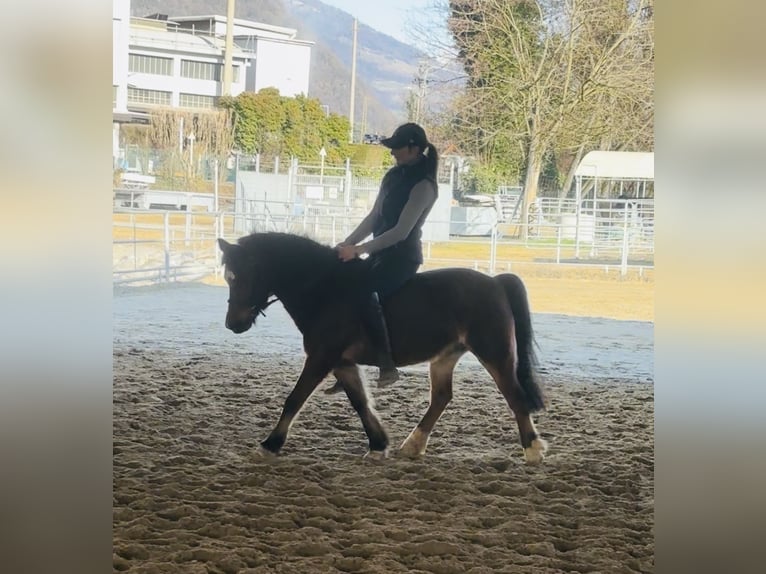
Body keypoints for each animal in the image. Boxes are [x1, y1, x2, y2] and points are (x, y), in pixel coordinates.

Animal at [217, 232, 548, 464]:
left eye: (244, 276)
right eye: (228, 277)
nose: (233, 324)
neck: (324, 289)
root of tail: (495, 282)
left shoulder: (321, 358)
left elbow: (294, 399)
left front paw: (269, 445)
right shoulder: (342, 363)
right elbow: (361, 403)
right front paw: (378, 445)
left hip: (494, 353)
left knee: (515, 395)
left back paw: (532, 449)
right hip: (445, 356)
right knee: (442, 397)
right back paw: (413, 445)